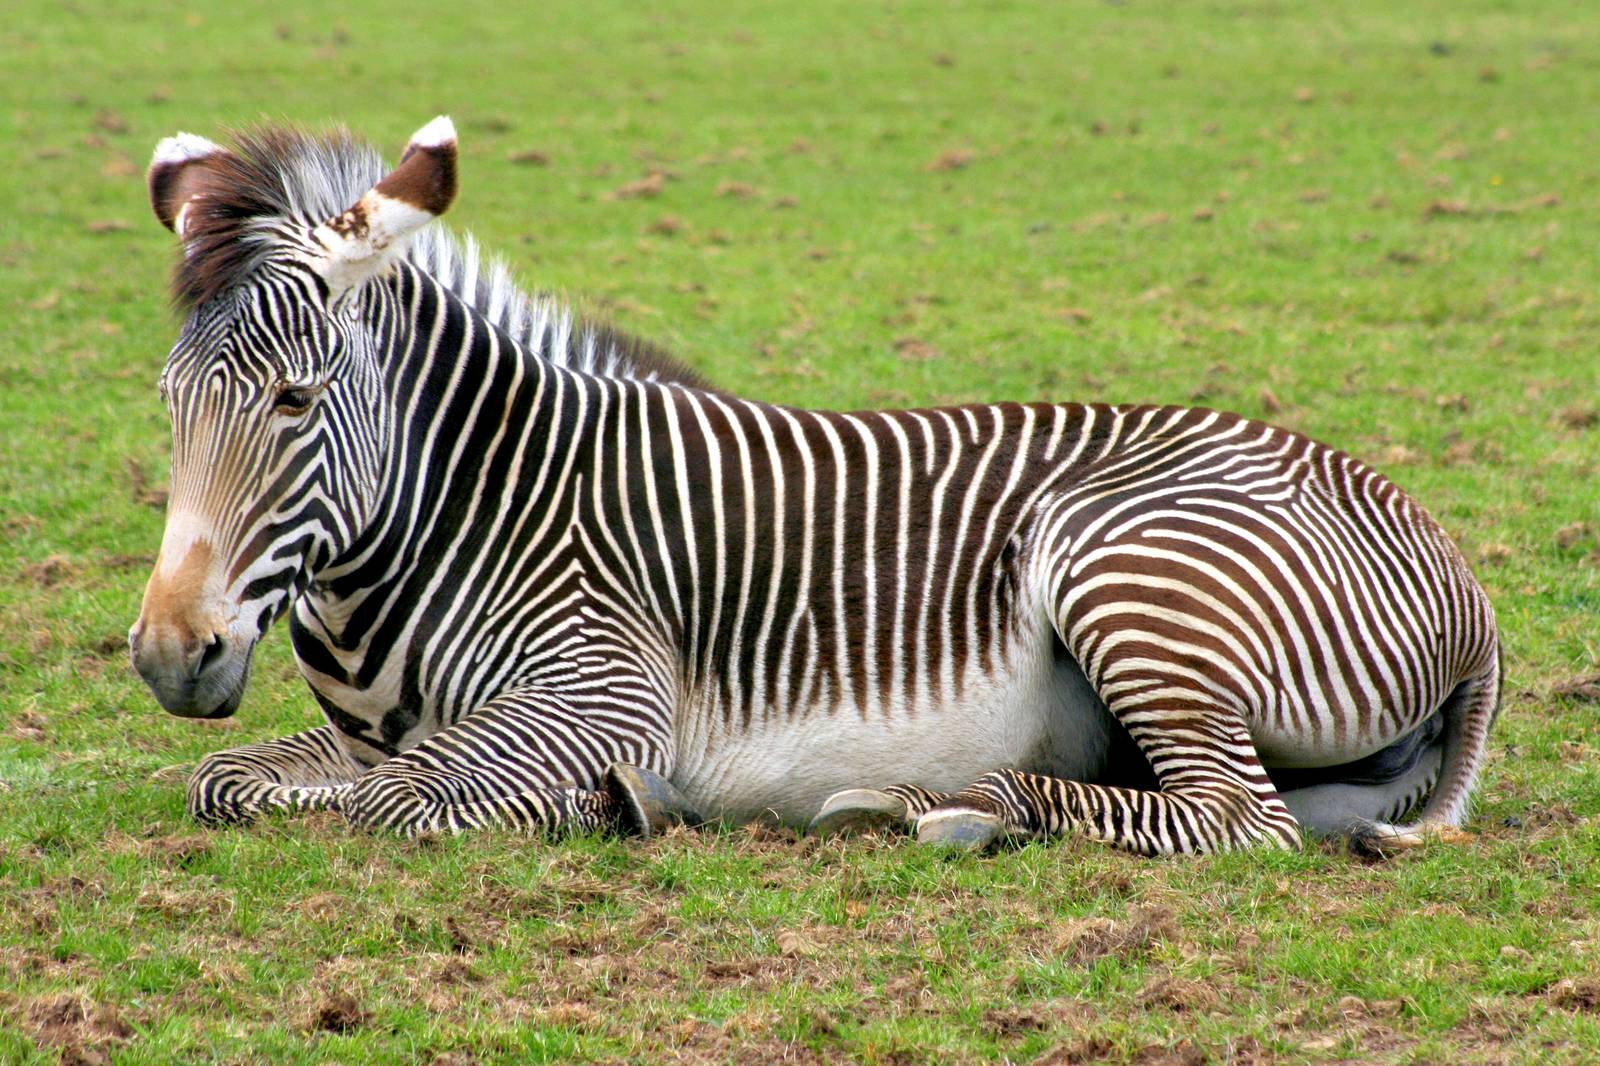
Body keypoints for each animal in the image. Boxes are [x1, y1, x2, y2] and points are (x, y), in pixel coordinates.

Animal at [129, 116, 1500, 857]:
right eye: (168, 400)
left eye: (294, 402)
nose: (167, 657)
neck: (474, 506)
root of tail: (1459, 571)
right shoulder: (384, 728)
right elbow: (227, 777)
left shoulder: (599, 693)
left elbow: (395, 802)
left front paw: (613, 803)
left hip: (1121, 561)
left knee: (1235, 820)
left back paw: (957, 807)